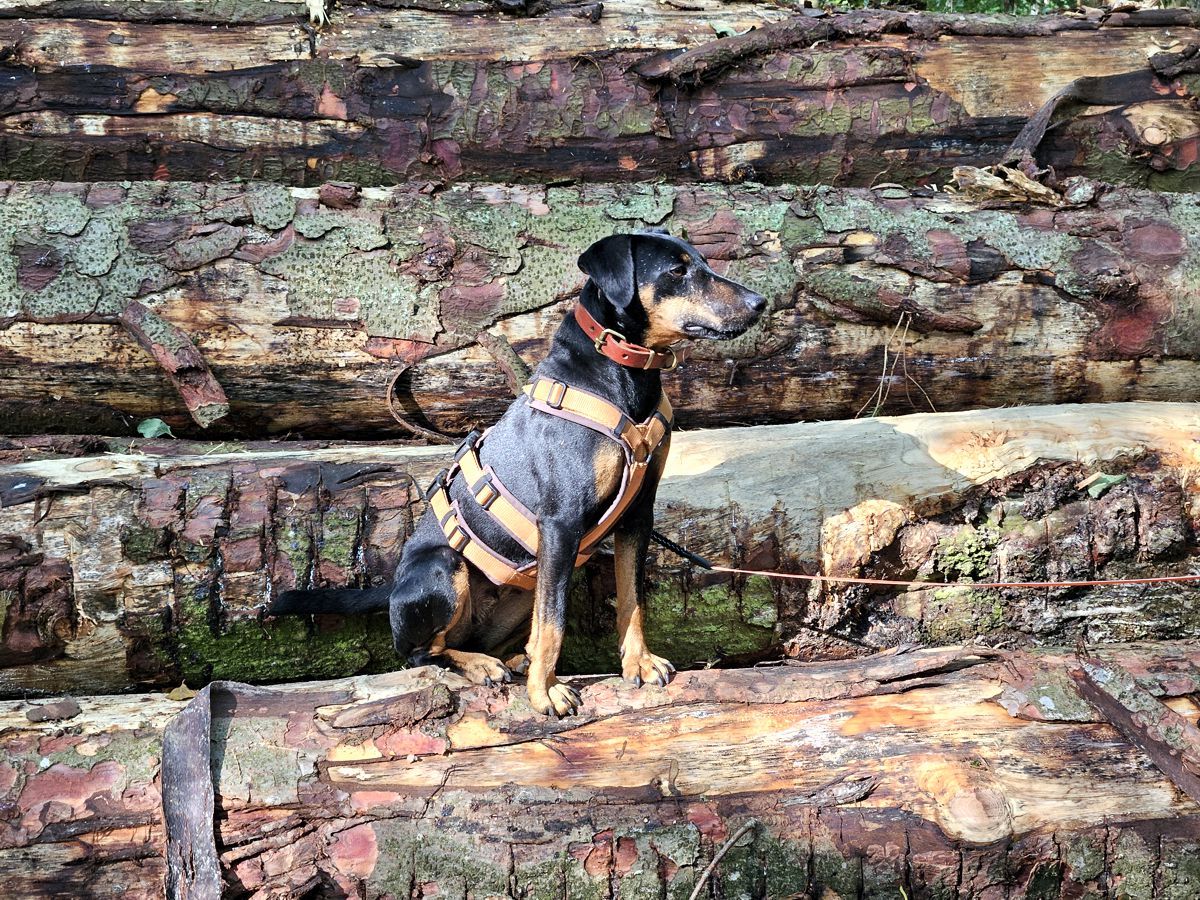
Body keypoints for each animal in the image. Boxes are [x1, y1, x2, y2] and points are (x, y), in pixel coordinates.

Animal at [268, 234, 763, 720]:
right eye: (677, 271)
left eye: (703, 262)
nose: (759, 302)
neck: (622, 378)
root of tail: (392, 590)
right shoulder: (561, 522)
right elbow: (554, 622)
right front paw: (545, 695)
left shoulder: (638, 514)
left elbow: (631, 598)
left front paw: (637, 663)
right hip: (445, 567)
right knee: (422, 652)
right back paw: (483, 666)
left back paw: (511, 659)